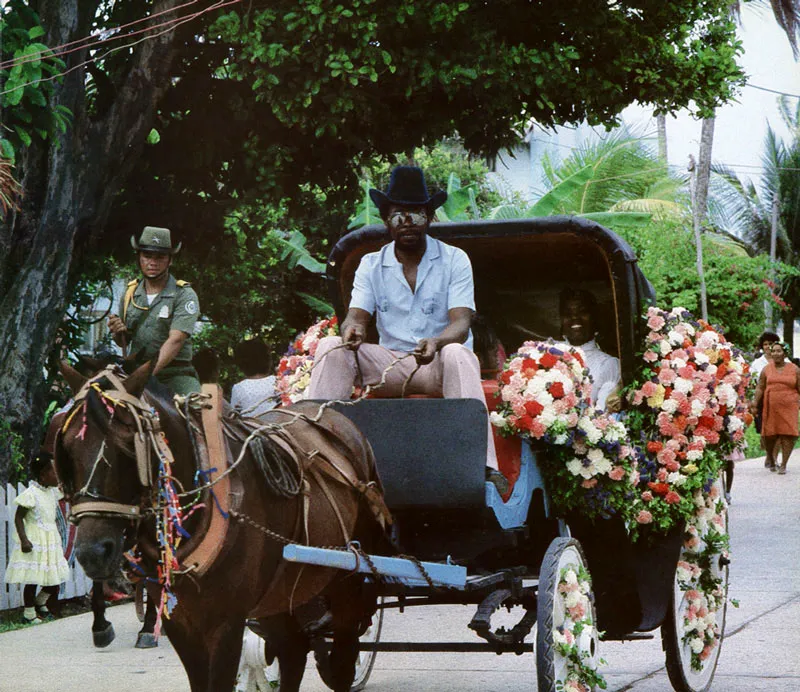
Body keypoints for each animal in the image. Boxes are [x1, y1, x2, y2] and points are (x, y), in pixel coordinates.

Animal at [54, 364, 390, 688]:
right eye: (67, 450)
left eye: (127, 447)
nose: (93, 553)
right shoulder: (181, 623)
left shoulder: (226, 623)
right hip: (280, 593)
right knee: (293, 650)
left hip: (347, 580)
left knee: (343, 658)